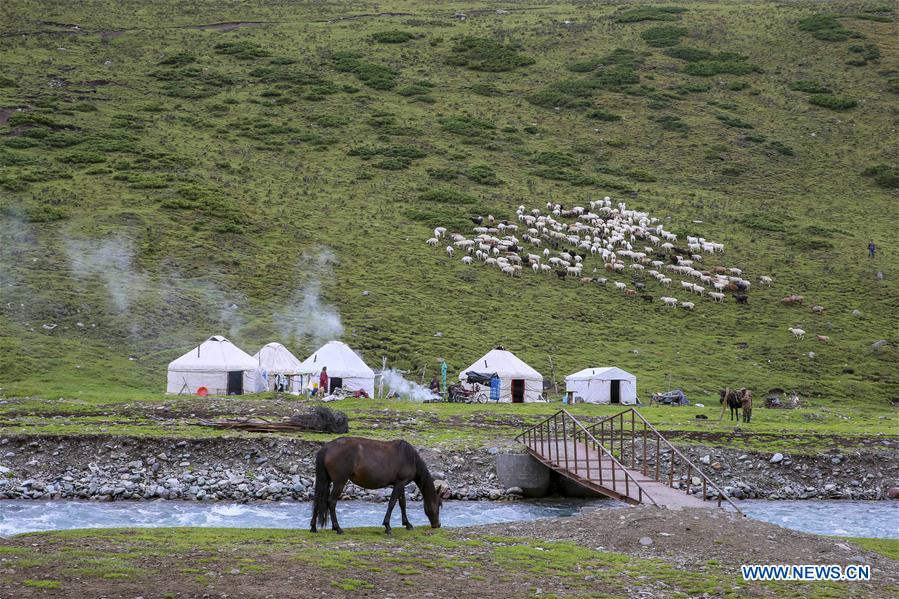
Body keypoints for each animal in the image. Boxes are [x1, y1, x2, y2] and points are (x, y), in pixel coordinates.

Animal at [310, 436, 442, 536]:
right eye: (439, 505)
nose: (437, 525)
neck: (410, 458)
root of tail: (327, 448)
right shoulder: (400, 483)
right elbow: (392, 503)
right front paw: (387, 526)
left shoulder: (401, 484)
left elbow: (402, 503)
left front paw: (407, 524)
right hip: (339, 482)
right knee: (331, 502)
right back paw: (338, 528)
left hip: (325, 481)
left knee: (318, 500)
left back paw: (313, 527)